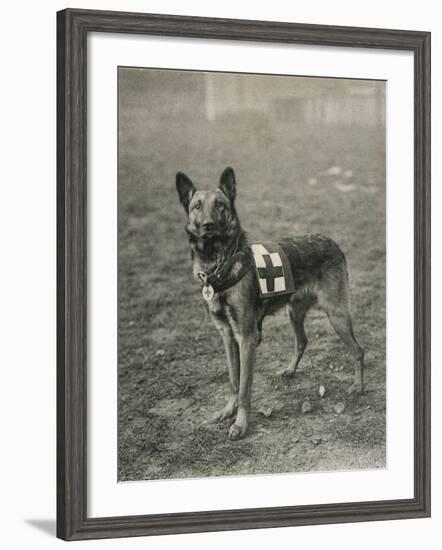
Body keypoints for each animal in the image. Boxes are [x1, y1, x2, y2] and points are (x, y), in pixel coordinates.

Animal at [174, 166, 364, 442]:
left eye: (220, 205)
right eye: (197, 206)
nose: (208, 225)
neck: (220, 263)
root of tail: (331, 241)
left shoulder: (247, 338)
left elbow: (244, 387)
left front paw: (241, 423)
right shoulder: (227, 335)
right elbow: (233, 380)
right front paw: (228, 410)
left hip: (336, 314)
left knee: (358, 351)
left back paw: (358, 387)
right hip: (295, 312)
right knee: (302, 341)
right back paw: (291, 370)